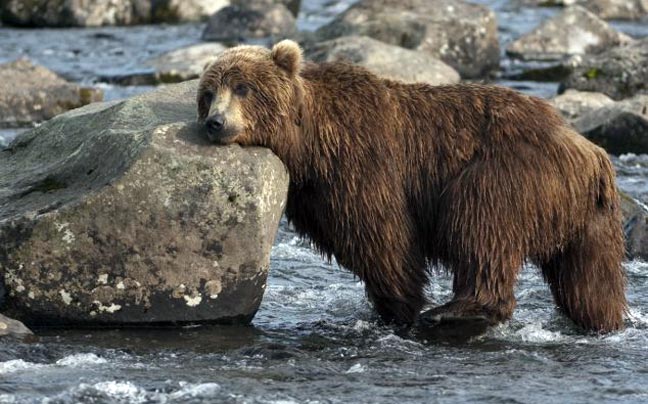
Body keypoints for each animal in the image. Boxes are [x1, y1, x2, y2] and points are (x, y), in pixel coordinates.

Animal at [197, 39, 628, 332]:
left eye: (243, 87)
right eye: (208, 93)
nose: (215, 123)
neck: (311, 142)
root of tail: (588, 149)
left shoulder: (363, 162)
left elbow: (384, 237)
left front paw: (402, 308)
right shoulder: (316, 195)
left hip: (509, 173)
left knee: (478, 223)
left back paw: (455, 310)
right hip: (588, 217)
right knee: (590, 278)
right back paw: (601, 320)